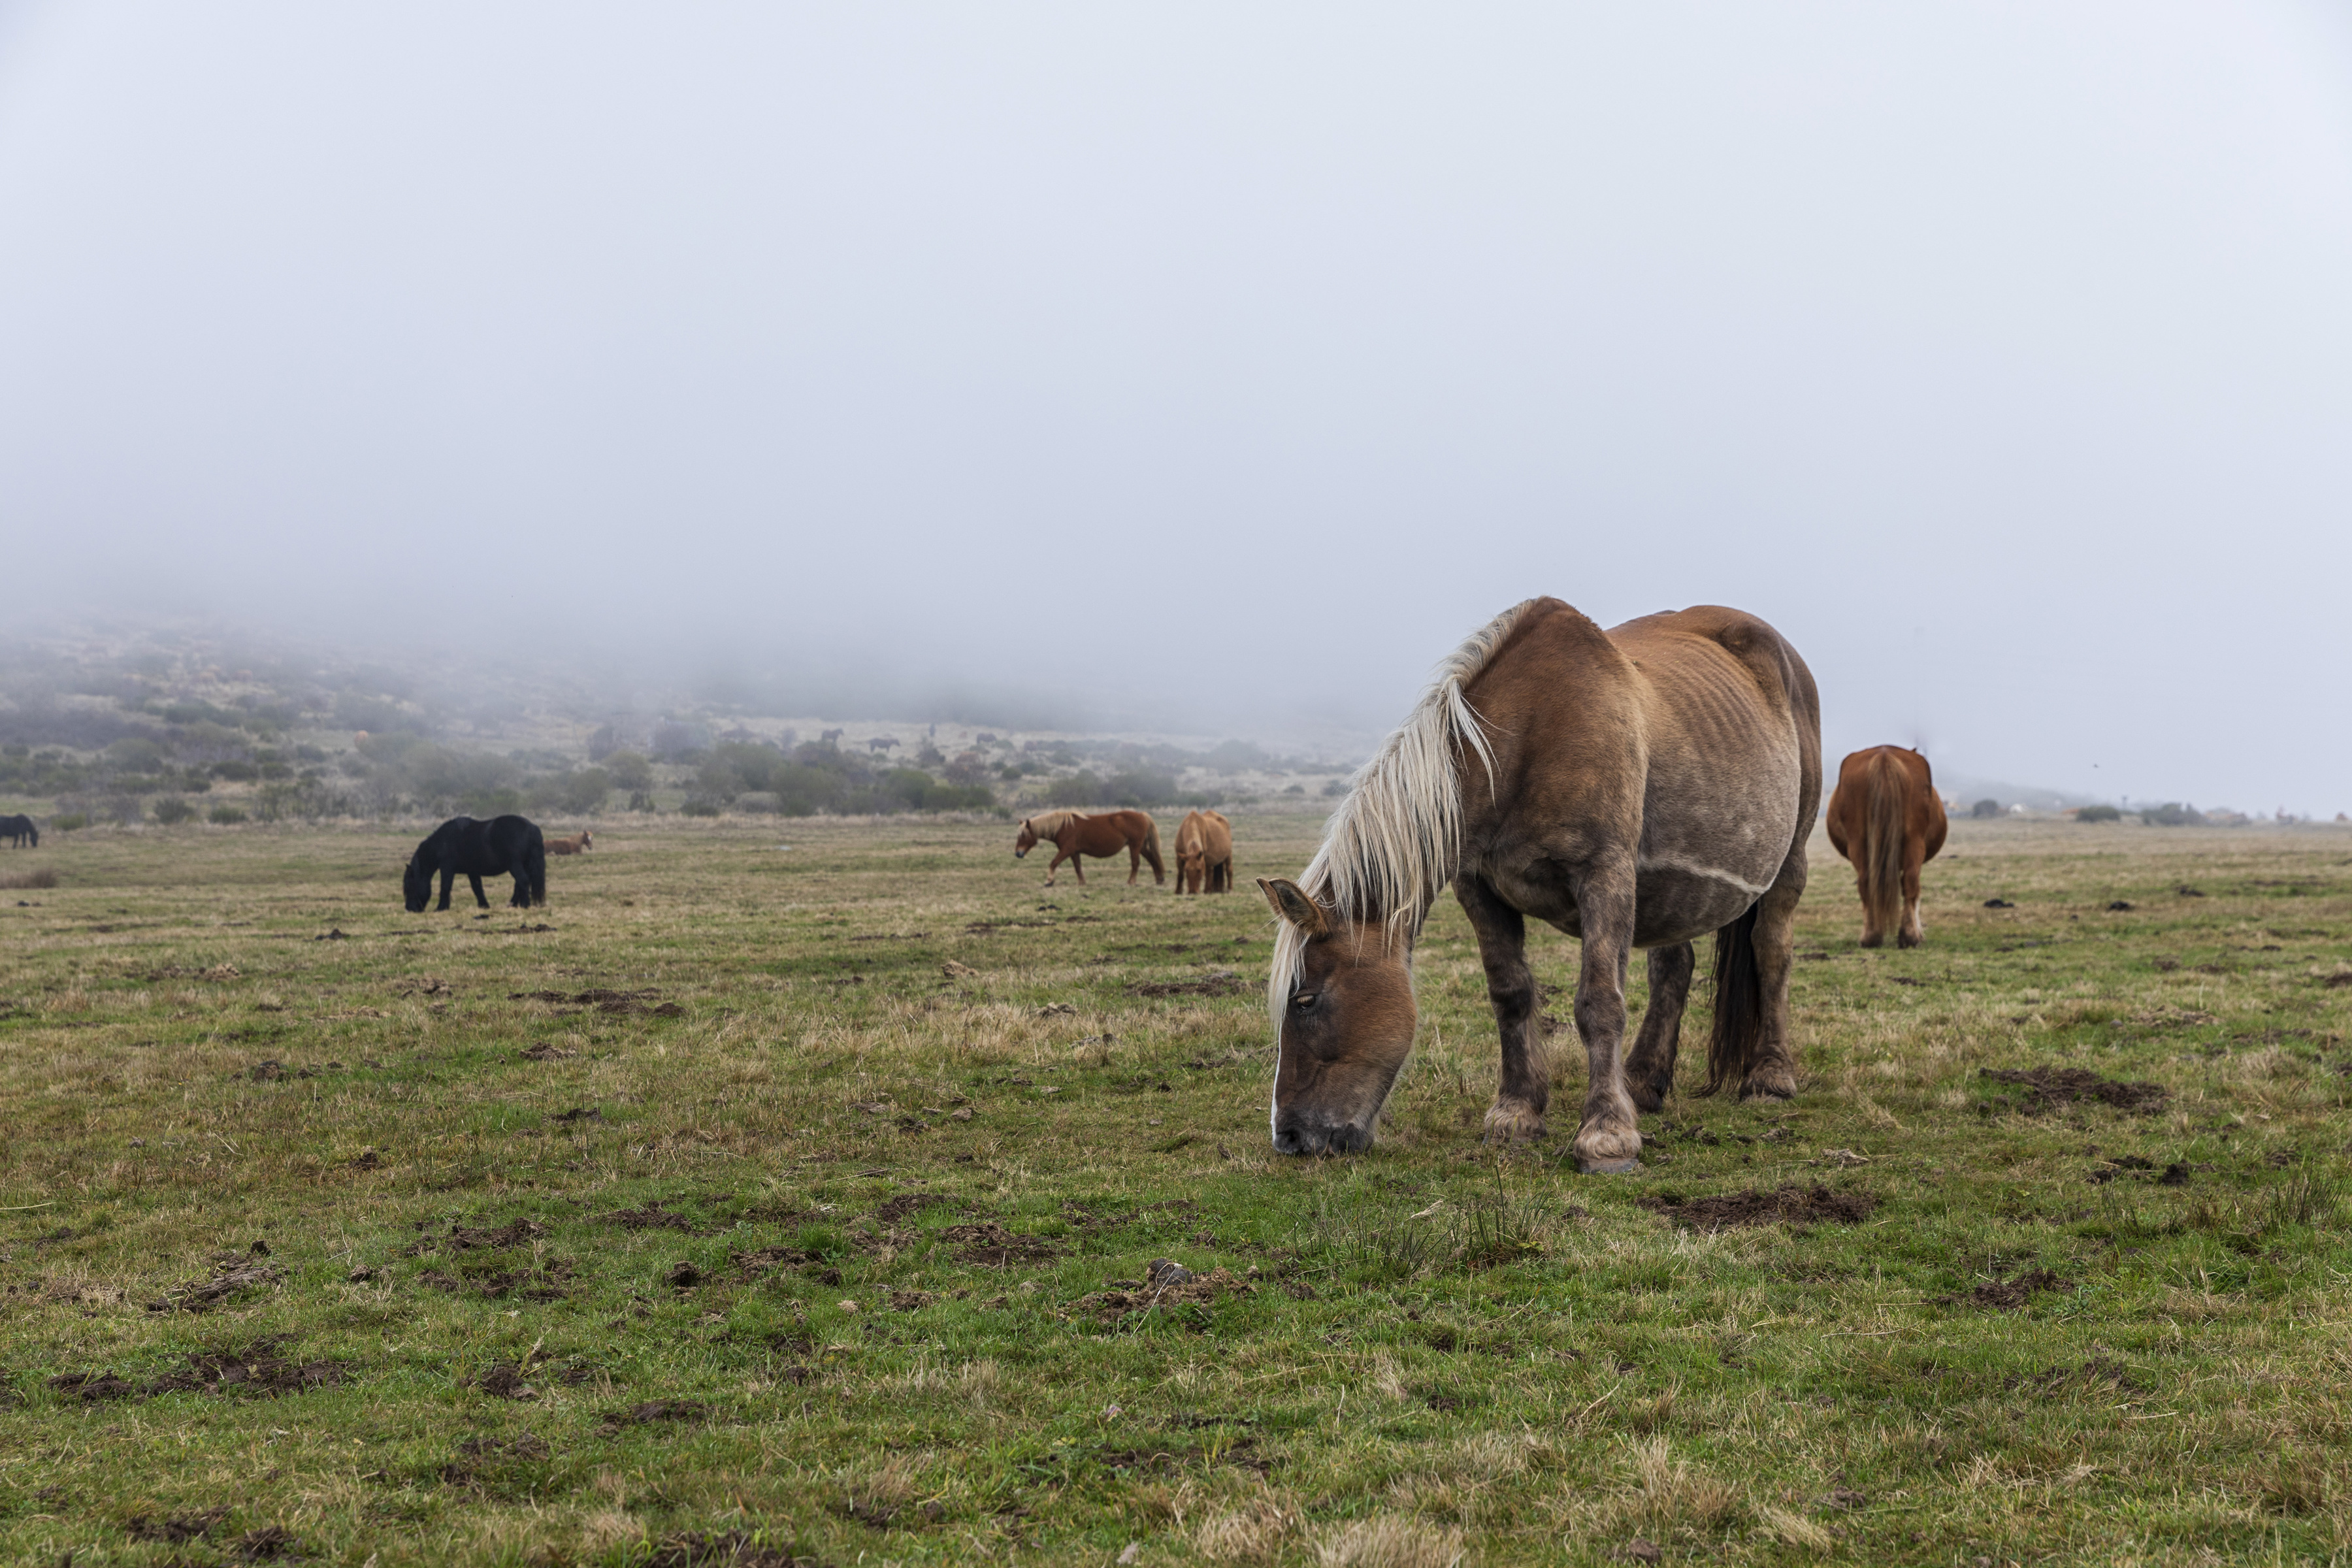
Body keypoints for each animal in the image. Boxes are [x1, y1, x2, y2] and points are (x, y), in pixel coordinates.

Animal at [403, 815, 547, 912]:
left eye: (409, 886)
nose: (410, 909)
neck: (442, 843)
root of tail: (531, 828)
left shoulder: (447, 868)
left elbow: (445, 887)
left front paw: (441, 908)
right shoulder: (472, 871)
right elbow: (477, 888)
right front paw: (484, 905)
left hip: (515, 865)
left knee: (523, 881)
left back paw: (524, 905)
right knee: (520, 884)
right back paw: (512, 904)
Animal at [1012, 809, 1165, 886]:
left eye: (1023, 835)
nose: (1018, 854)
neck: (1063, 827)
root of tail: (1141, 815)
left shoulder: (1066, 850)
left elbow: (1053, 863)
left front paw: (1049, 881)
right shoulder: (1074, 852)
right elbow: (1078, 867)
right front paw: (1082, 883)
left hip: (1135, 846)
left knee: (1136, 863)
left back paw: (1131, 882)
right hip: (1140, 846)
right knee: (1152, 860)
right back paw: (1159, 879)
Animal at [1174, 809, 1233, 894]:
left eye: (1199, 870)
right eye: (1186, 869)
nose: (1193, 891)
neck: (1191, 823)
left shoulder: (1205, 859)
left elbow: (1208, 874)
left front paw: (1207, 890)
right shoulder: (1179, 858)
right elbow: (1180, 874)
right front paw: (1178, 891)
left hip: (1228, 855)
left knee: (1229, 870)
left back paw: (1230, 889)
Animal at [1257, 599, 1821, 1173]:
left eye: (1305, 1000)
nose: (1290, 1136)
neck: (1525, 739)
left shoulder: (1605, 876)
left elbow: (1599, 1002)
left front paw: (1607, 1134)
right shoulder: (1478, 887)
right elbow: (1511, 994)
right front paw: (1517, 1115)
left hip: (1788, 864)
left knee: (1771, 953)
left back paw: (1769, 1077)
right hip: (1670, 890)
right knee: (1673, 966)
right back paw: (1642, 1082)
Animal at [1824, 746, 1946, 948]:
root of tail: (1884, 755)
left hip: (1859, 843)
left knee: (1867, 883)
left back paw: (1872, 936)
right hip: (1914, 842)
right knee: (1911, 883)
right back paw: (1909, 936)